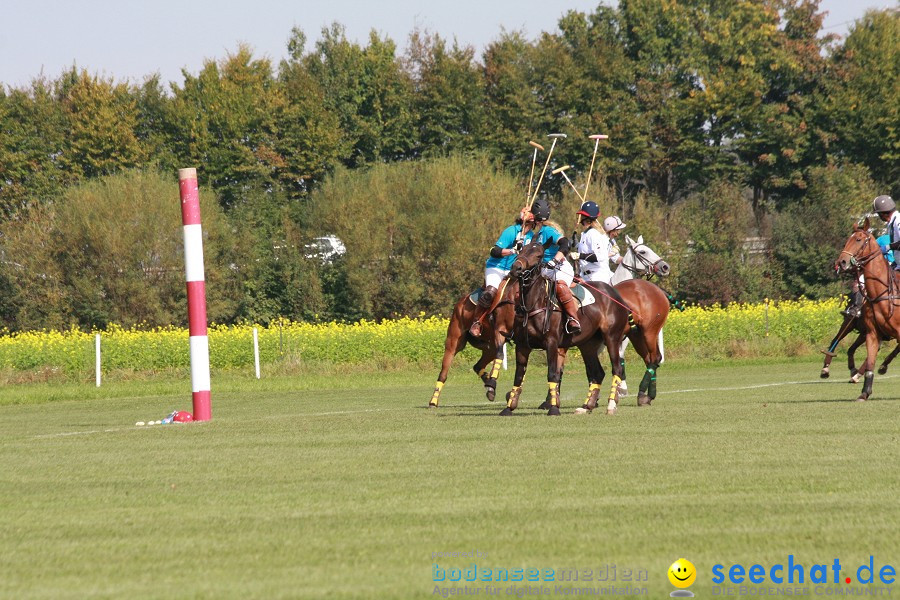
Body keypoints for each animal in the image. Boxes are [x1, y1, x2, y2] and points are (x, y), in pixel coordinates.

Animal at [492, 237, 632, 414]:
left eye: (539, 255)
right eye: (521, 250)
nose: (516, 268)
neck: (534, 304)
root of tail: (615, 294)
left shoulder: (551, 342)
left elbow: (553, 374)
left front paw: (553, 408)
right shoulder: (522, 345)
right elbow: (518, 376)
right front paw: (508, 408)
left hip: (612, 337)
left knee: (617, 369)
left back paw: (611, 405)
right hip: (588, 344)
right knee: (597, 373)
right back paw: (586, 406)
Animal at [832, 218, 900, 400]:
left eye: (858, 239)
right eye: (848, 239)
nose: (841, 262)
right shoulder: (872, 333)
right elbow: (869, 362)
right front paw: (864, 392)